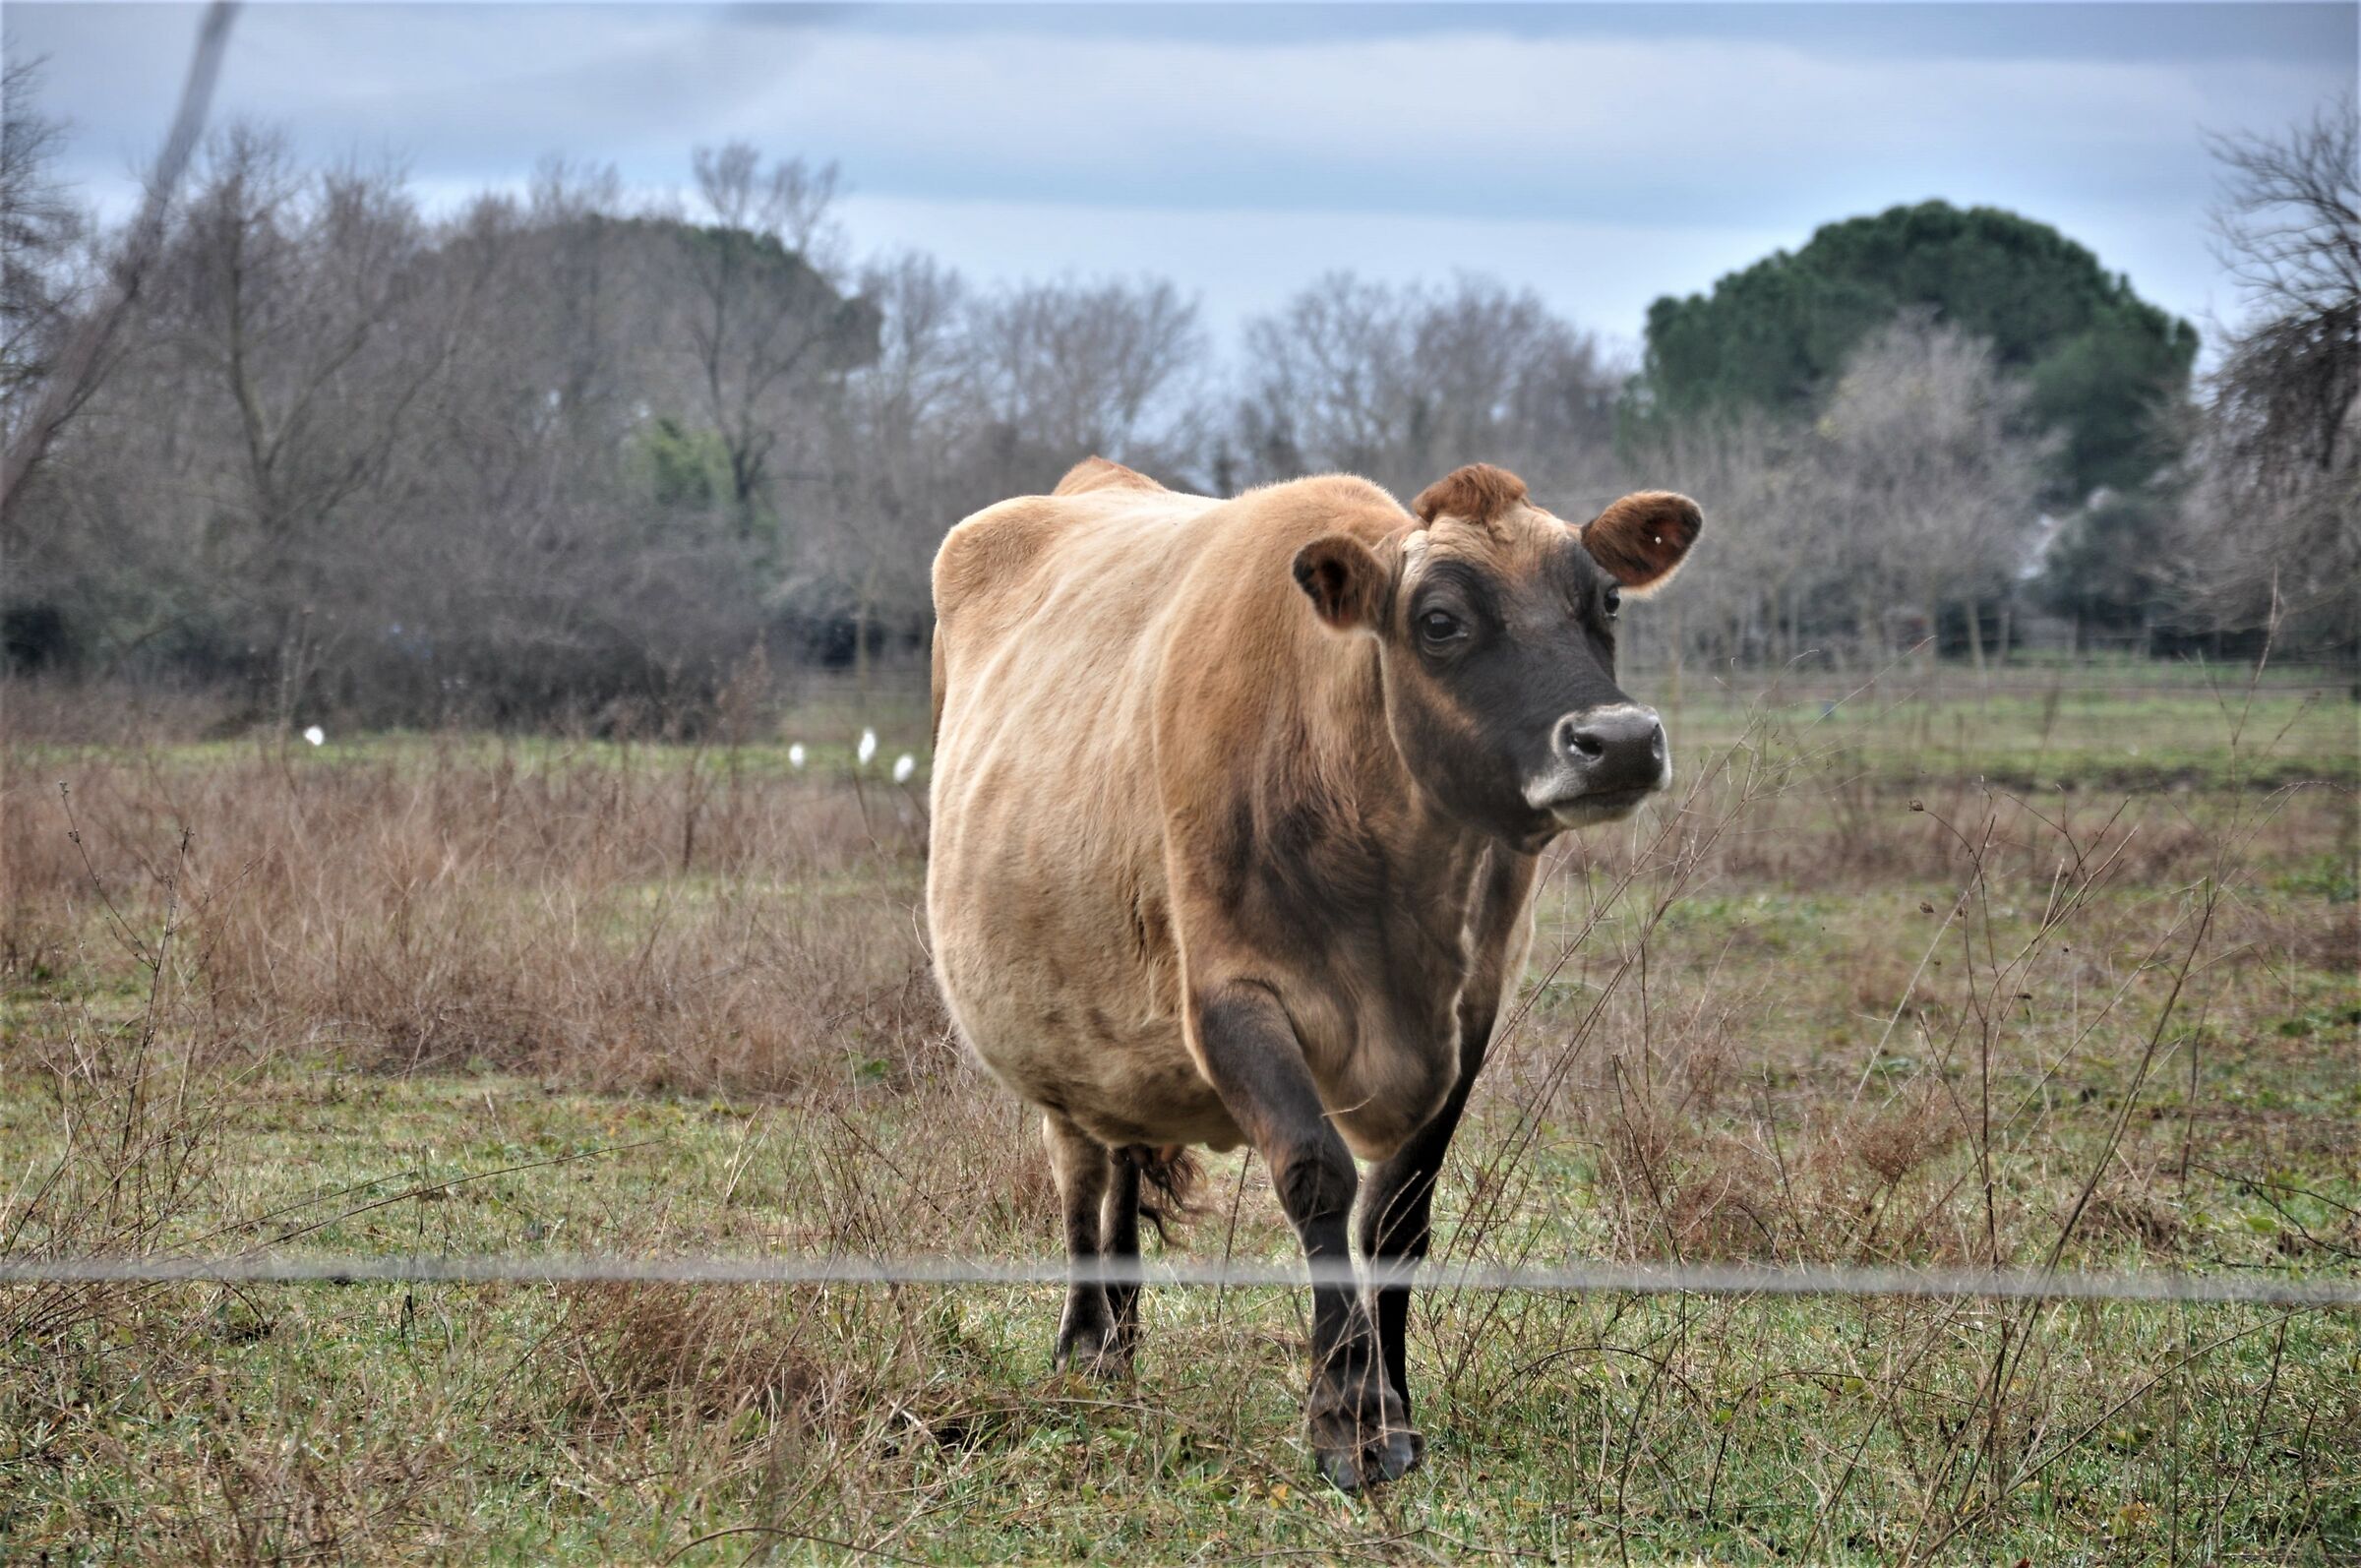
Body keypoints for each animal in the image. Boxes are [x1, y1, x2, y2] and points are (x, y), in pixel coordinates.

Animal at [925, 457, 1700, 1490]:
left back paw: (1121, 1350)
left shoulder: (1472, 1012)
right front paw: (1351, 1421)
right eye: (1440, 620)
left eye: (1606, 599)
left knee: (1121, 1163)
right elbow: (1319, 1179)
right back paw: (1085, 1348)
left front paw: (1400, 1400)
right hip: (1050, 1031)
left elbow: (1399, 1218)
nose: (1617, 740)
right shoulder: (1229, 1002)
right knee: (1082, 1174)